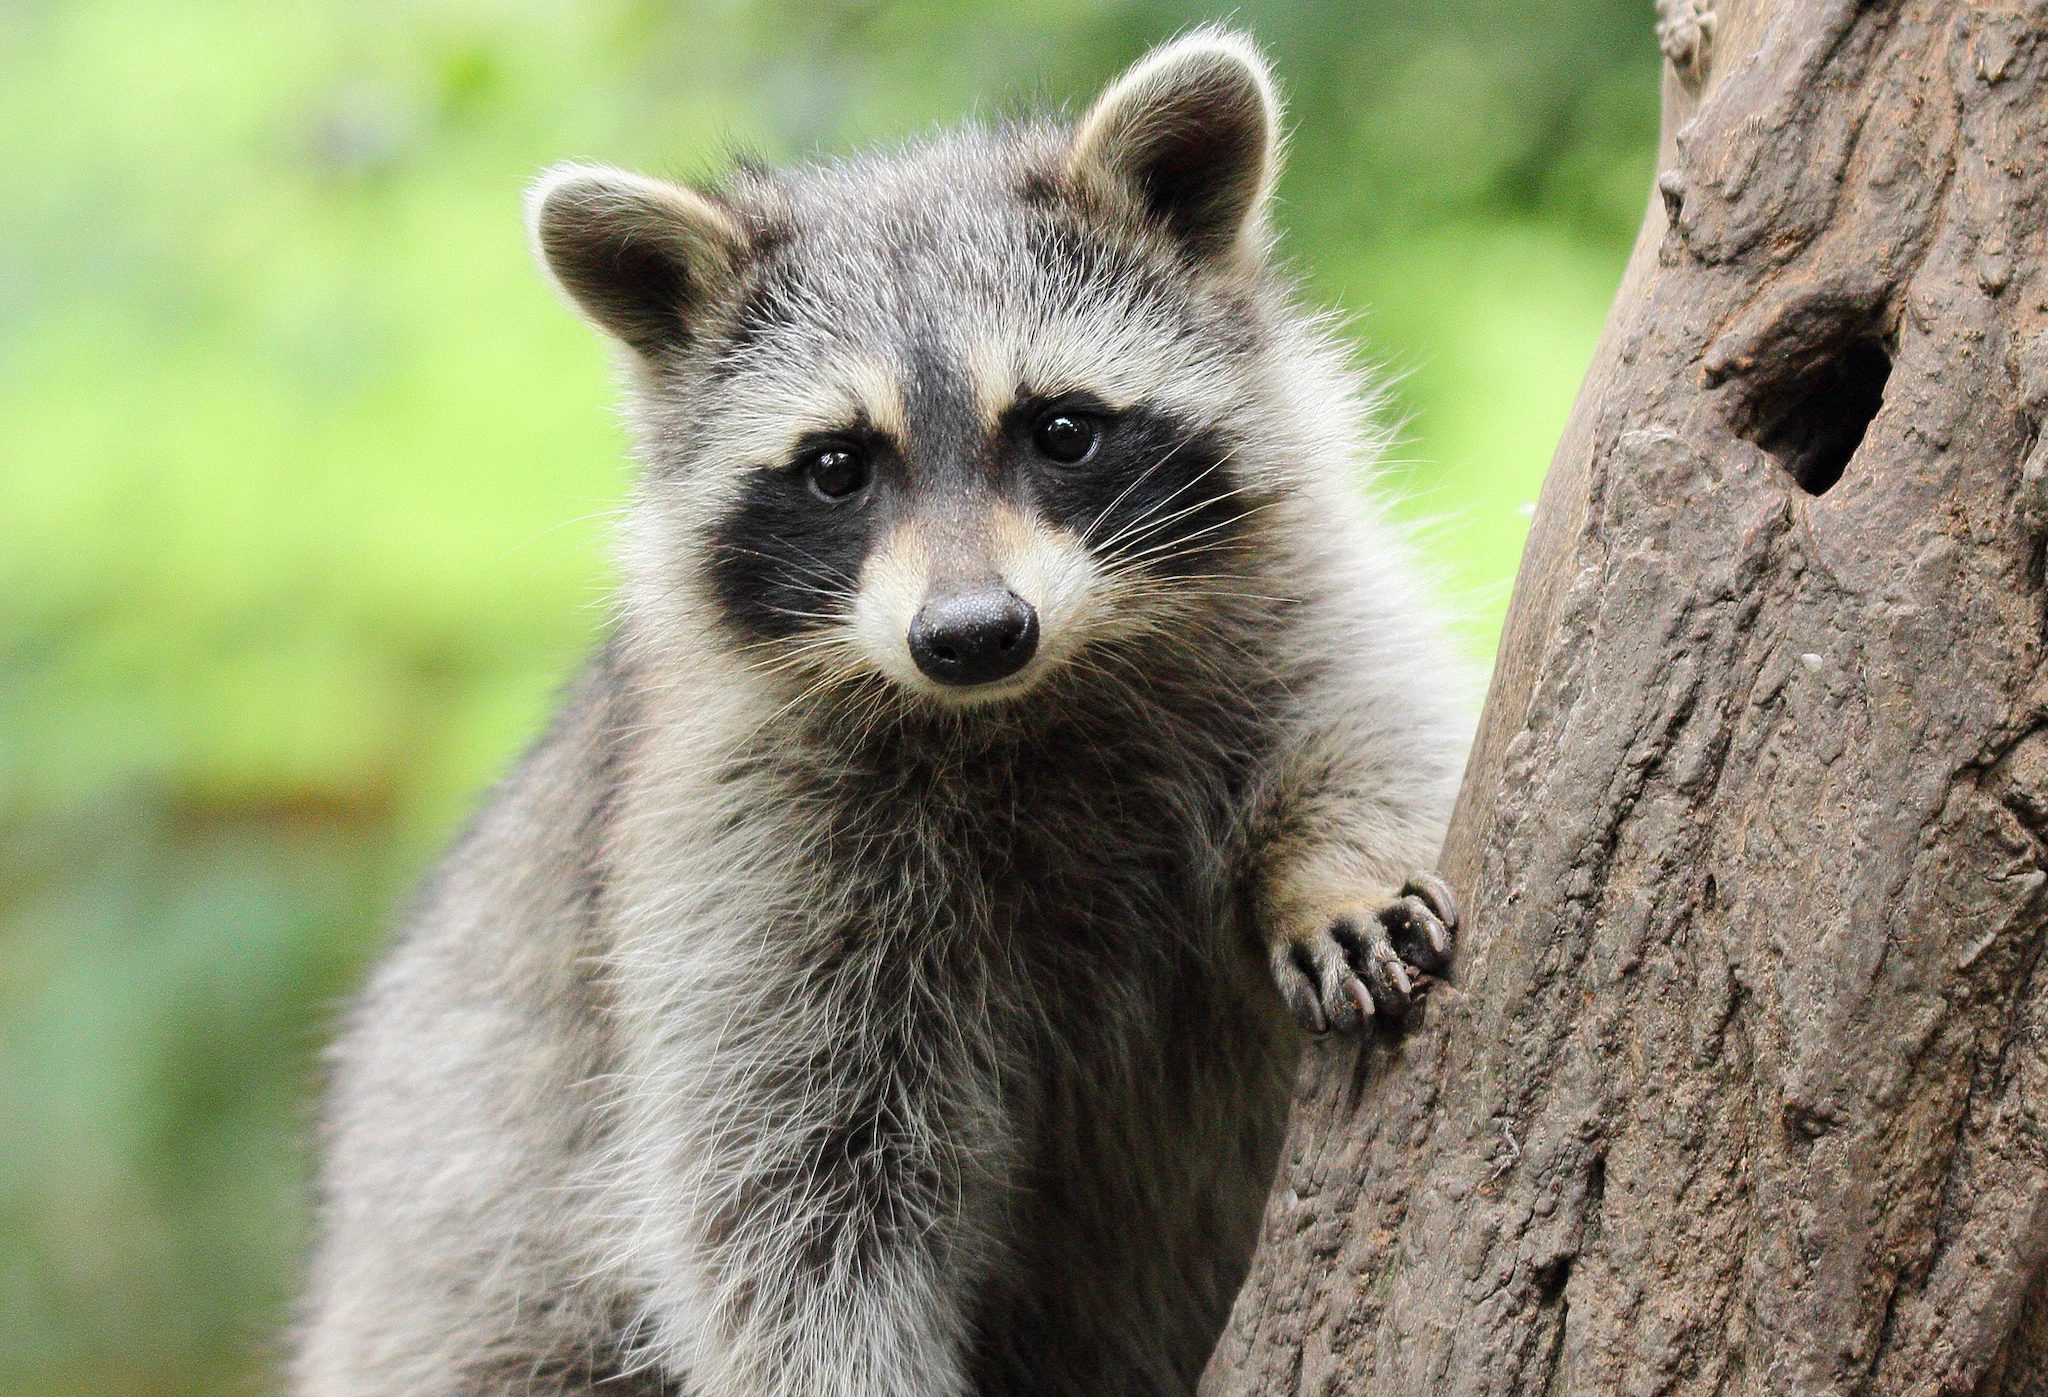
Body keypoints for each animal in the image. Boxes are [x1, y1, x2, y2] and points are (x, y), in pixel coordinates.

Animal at [292, 29, 1474, 1392]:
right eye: (836, 466)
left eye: (1061, 429)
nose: (971, 633)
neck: (1024, 704)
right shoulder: (745, 851)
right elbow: (788, 1197)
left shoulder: (1291, 597)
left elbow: (1376, 714)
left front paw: (1334, 864)